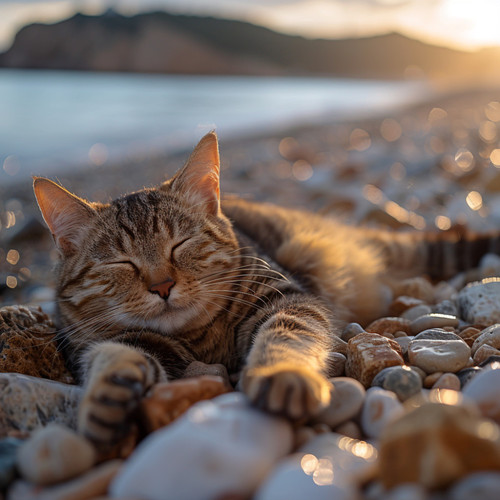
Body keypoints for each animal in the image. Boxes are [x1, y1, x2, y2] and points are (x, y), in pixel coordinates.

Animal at [34, 132, 496, 446]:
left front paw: (281, 375)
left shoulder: (285, 298)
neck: (199, 339)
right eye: (122, 263)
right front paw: (108, 394)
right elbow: (114, 353)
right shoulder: (109, 340)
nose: (162, 286)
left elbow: (285, 333)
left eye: (180, 244)